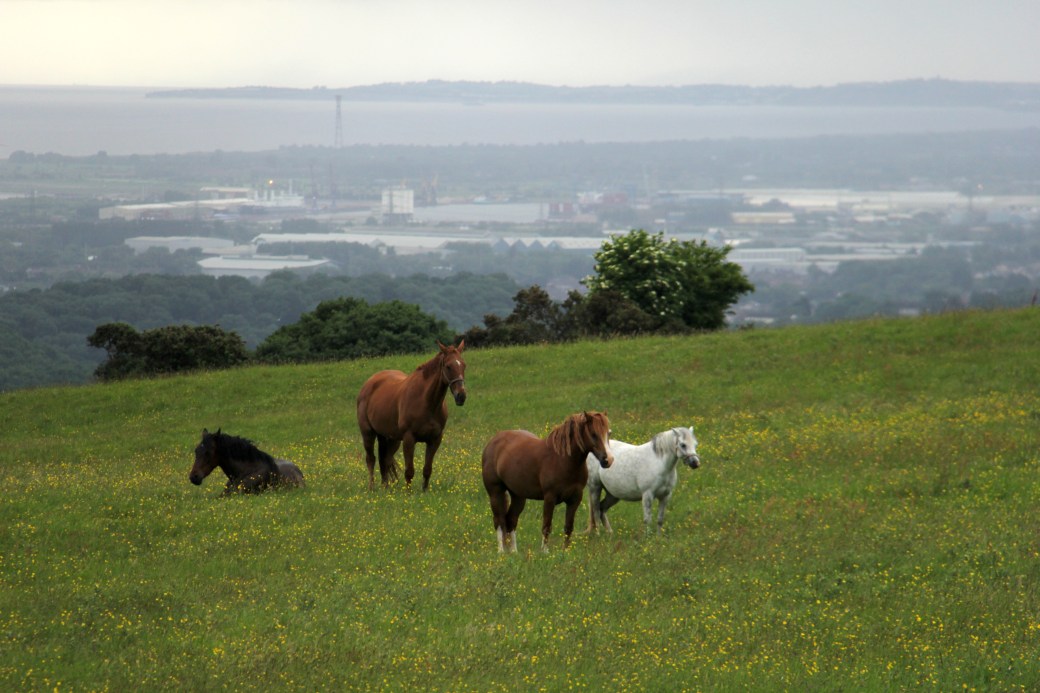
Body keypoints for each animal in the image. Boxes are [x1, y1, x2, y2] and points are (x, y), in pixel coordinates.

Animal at [356, 341, 467, 491]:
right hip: (368, 433)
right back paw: (371, 488)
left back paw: (385, 487)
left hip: (391, 438)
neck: (426, 402)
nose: (461, 396)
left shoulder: (435, 439)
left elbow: (427, 469)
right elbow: (409, 471)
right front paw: (408, 493)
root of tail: (369, 383)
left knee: (384, 460)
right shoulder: (409, 438)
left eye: (463, 365)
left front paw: (424, 491)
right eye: (448, 366)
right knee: (371, 459)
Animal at [481, 411, 613, 553]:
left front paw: (565, 551)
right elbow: (547, 525)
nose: (608, 460)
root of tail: (493, 441)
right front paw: (545, 551)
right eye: (593, 434)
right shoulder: (550, 497)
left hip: (518, 496)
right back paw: (501, 551)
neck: (563, 460)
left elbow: (568, 527)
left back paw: (514, 552)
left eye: (608, 433)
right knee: (499, 521)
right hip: (495, 493)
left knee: (511, 519)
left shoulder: (575, 498)